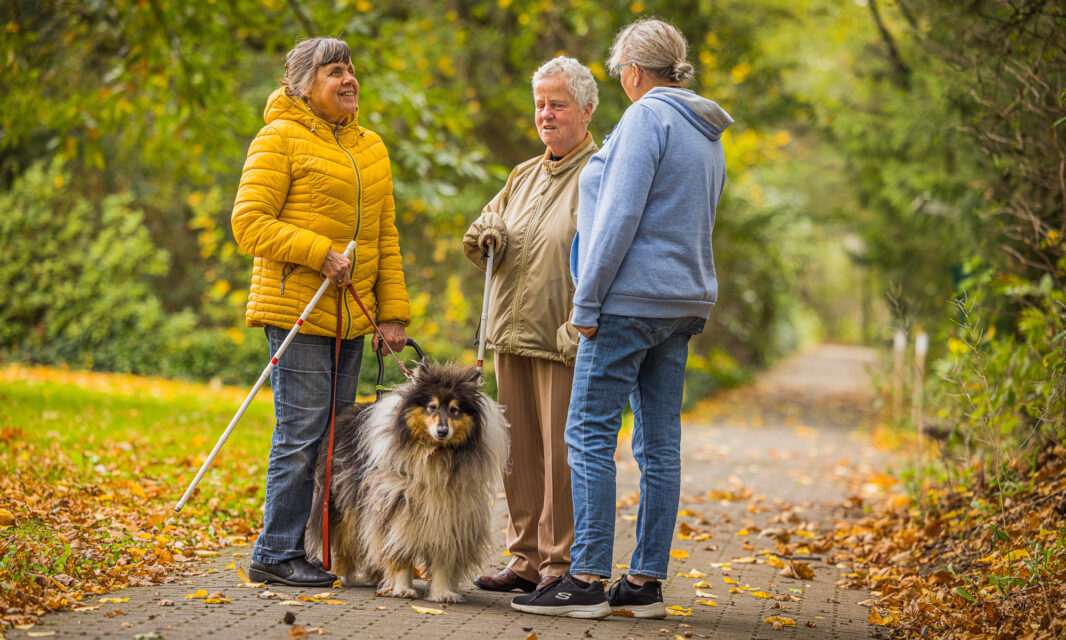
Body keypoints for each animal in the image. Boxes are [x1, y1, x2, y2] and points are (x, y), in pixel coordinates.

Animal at [304, 362, 507, 601]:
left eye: (455, 409)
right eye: (432, 407)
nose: (442, 431)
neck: (435, 454)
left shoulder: (450, 513)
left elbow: (442, 558)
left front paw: (442, 592)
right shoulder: (394, 506)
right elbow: (399, 549)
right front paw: (402, 588)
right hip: (345, 505)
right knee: (345, 543)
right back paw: (341, 577)